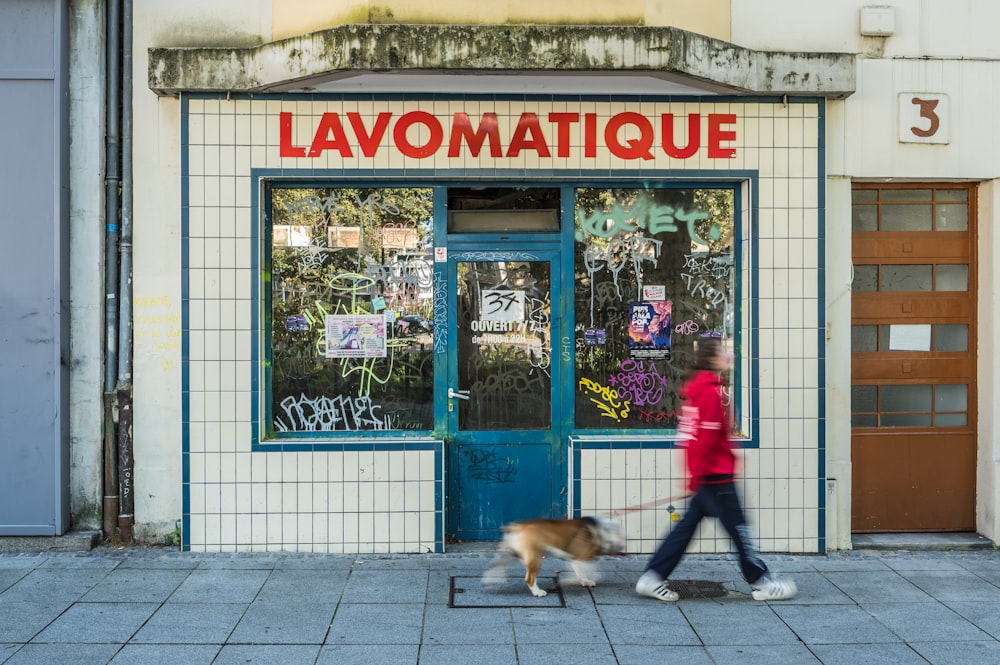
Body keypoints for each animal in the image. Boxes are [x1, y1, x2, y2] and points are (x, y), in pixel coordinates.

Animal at [482, 512, 624, 596]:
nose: (622, 546)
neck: (598, 530)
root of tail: (516, 527)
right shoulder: (582, 556)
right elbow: (591, 570)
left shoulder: (575, 558)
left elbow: (581, 571)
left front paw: (584, 581)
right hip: (535, 558)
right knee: (529, 578)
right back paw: (538, 592)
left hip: (510, 554)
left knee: (494, 566)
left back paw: (490, 581)